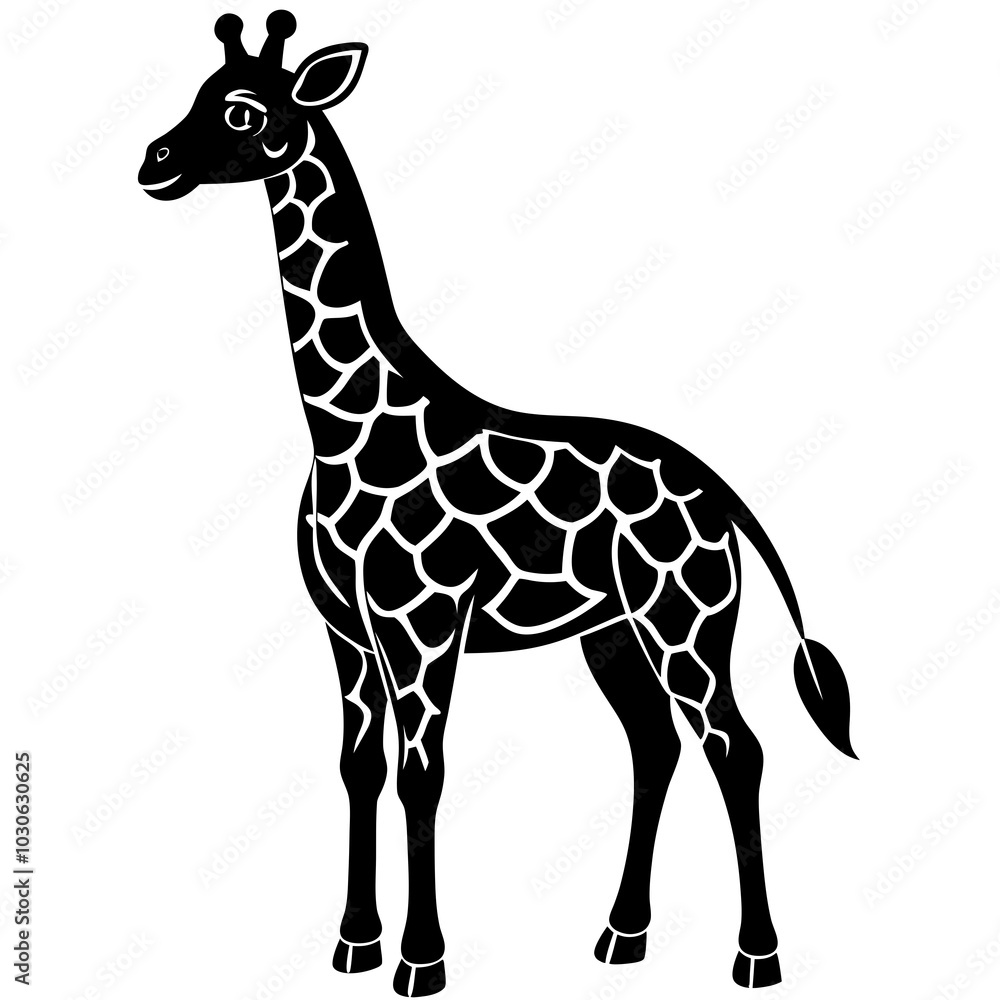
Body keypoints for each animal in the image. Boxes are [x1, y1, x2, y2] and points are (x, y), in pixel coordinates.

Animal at [139, 12, 857, 996]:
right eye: (198, 93)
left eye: (243, 111)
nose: (155, 160)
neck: (341, 428)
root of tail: (718, 491)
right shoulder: (345, 627)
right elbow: (358, 766)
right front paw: (353, 944)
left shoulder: (424, 621)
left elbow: (423, 774)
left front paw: (421, 961)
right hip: (612, 631)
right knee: (656, 745)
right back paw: (620, 936)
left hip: (687, 619)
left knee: (733, 746)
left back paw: (757, 957)